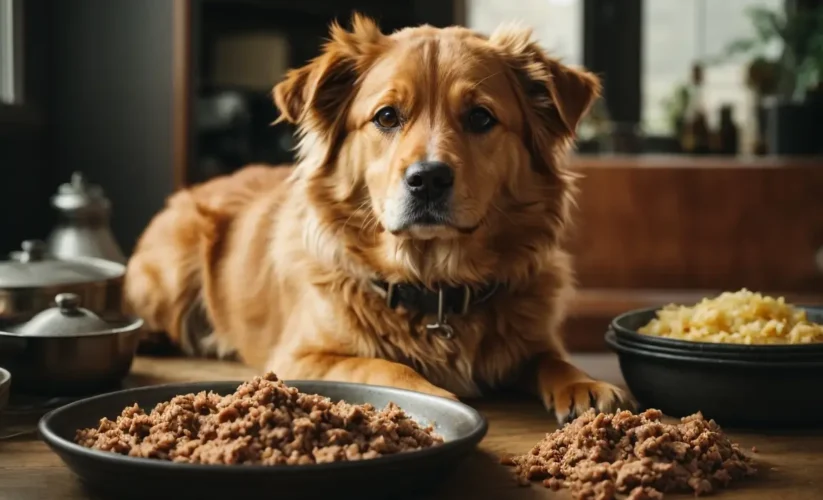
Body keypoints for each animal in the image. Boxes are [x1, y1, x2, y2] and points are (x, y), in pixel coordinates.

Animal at [125, 14, 636, 422]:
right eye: (387, 116)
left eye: (480, 118)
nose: (427, 179)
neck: (433, 286)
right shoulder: (300, 357)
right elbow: (381, 365)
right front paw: (436, 396)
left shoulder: (534, 339)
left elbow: (553, 358)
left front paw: (585, 384)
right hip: (173, 266)